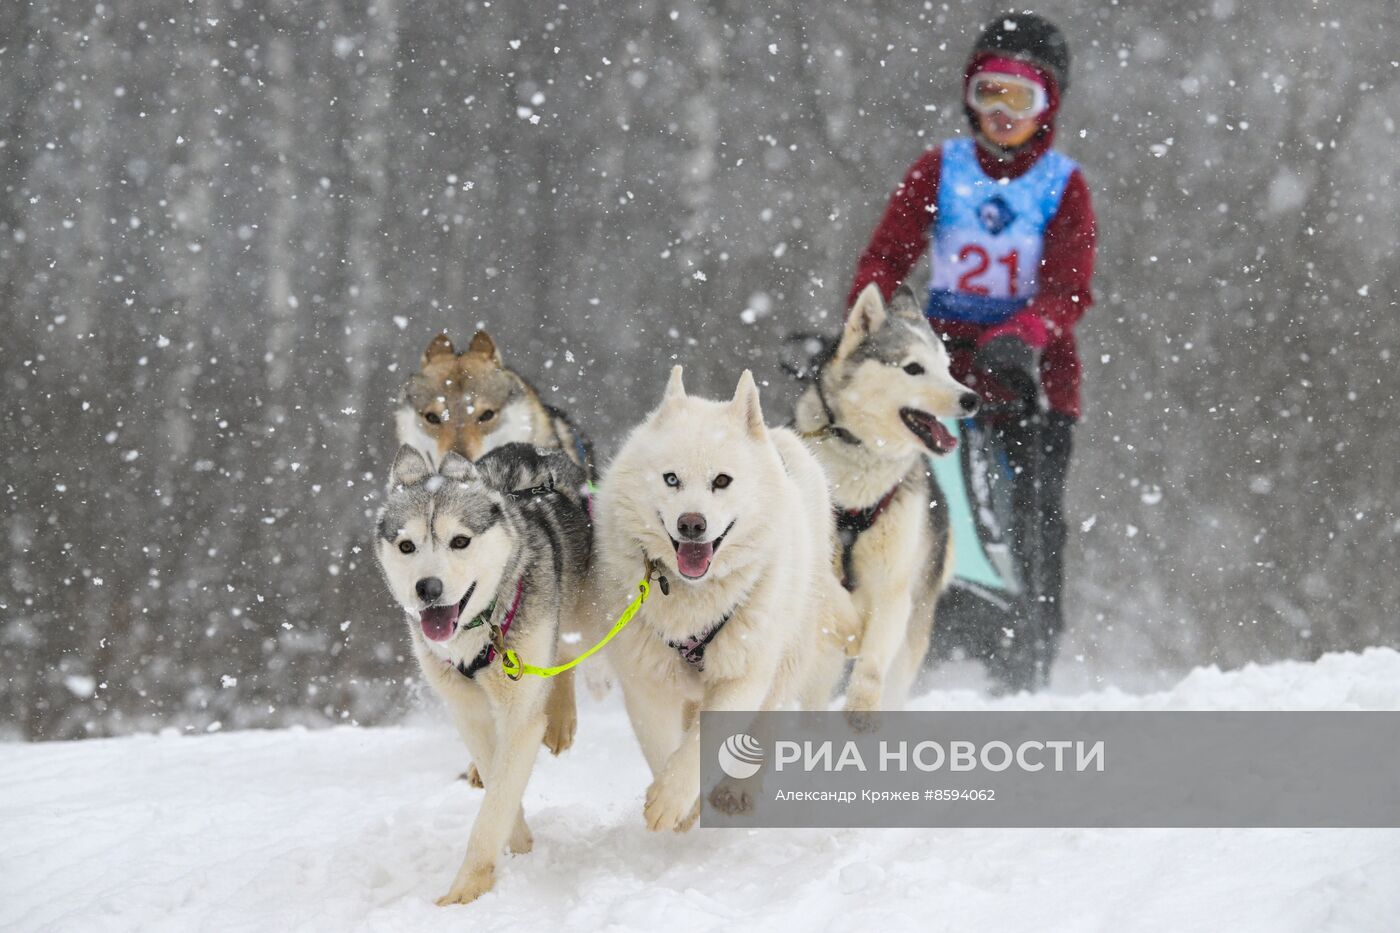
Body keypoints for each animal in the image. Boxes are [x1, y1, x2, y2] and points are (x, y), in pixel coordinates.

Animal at [585, 364, 845, 829]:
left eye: (721, 481)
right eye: (671, 479)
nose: (692, 524)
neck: (693, 599)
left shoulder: (742, 676)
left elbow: (705, 742)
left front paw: (673, 798)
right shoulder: (646, 683)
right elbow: (663, 746)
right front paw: (678, 808)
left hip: (786, 656)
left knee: (766, 720)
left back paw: (737, 791)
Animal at [795, 282, 980, 711]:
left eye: (946, 366)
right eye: (913, 368)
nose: (971, 398)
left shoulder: (894, 587)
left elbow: (872, 666)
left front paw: (861, 706)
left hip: (913, 631)